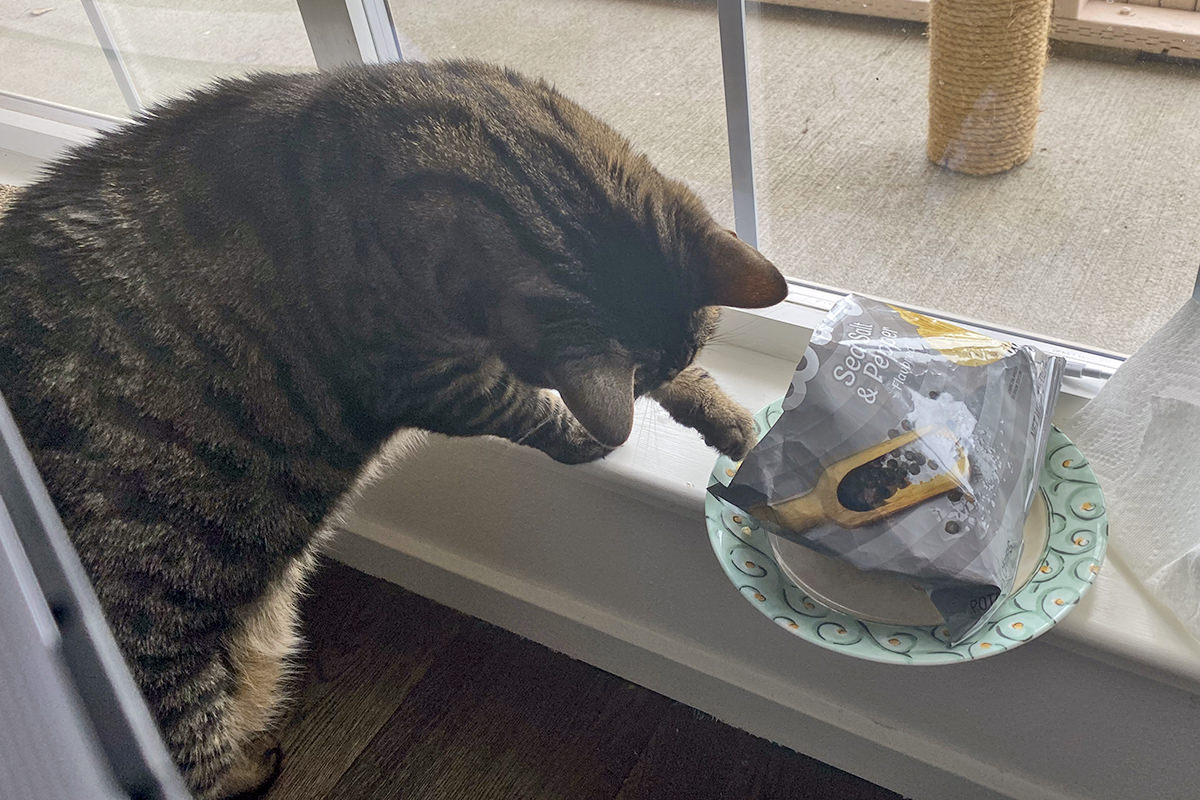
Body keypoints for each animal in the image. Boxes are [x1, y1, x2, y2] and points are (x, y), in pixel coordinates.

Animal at [0, 59, 787, 796]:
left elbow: (677, 382)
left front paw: (727, 420)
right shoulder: (435, 382)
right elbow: (530, 409)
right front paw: (587, 435)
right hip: (161, 670)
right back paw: (251, 762)